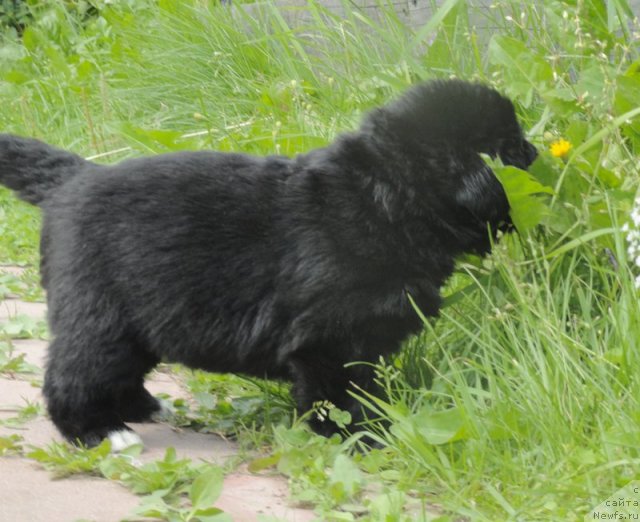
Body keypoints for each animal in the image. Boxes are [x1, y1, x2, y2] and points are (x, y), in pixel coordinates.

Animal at [0, 80, 536, 446]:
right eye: (510, 145)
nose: (534, 151)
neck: (383, 197)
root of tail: (71, 180)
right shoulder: (325, 341)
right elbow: (337, 397)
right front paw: (357, 437)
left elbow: (365, 385)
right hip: (100, 316)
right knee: (73, 373)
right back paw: (100, 433)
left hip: (142, 319)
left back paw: (145, 409)